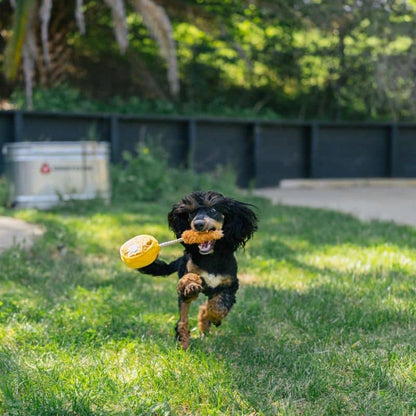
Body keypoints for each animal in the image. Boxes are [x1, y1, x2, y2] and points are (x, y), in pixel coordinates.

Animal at [140, 190, 256, 350]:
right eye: (192, 213)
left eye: (213, 210)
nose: (198, 224)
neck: (211, 258)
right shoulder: (187, 276)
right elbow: (188, 281)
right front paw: (192, 286)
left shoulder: (230, 285)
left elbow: (218, 307)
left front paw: (211, 316)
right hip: (184, 299)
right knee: (182, 320)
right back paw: (183, 342)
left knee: (205, 307)